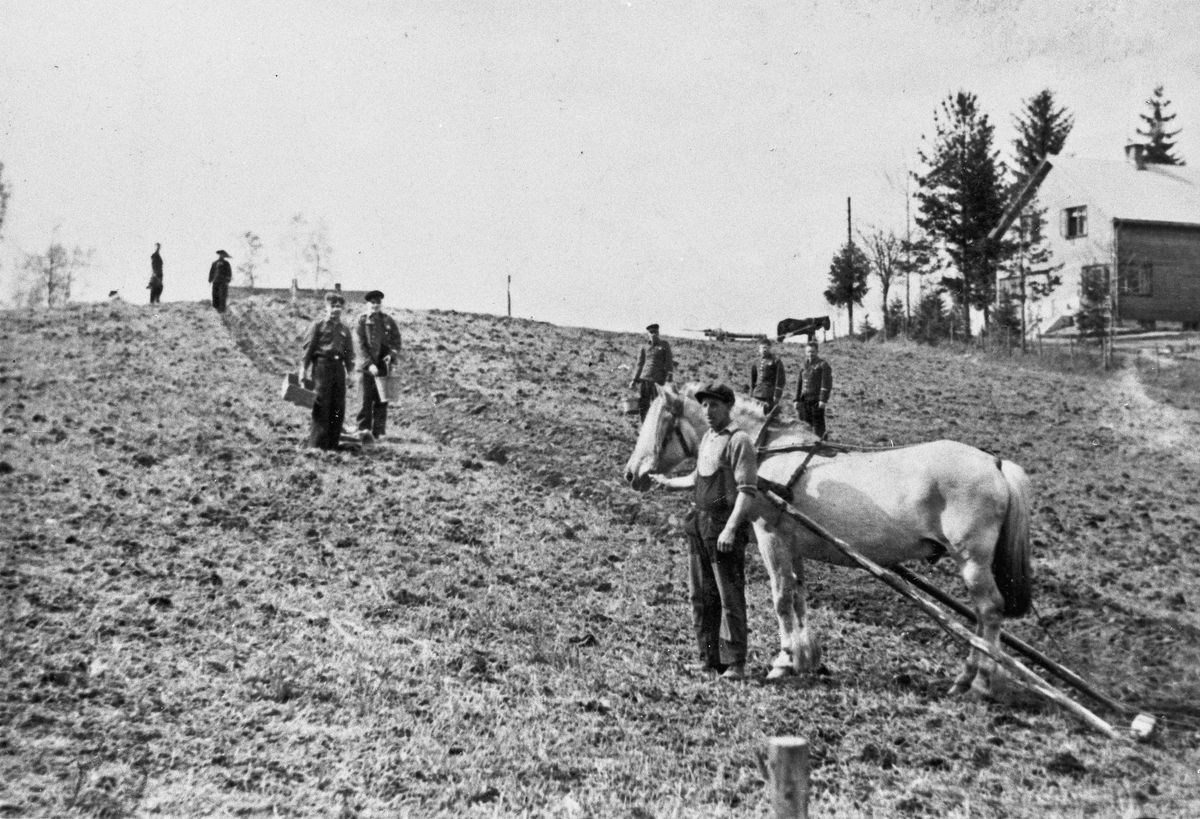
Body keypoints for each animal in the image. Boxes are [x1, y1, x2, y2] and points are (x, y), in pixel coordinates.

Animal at [628, 381, 1032, 696]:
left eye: (659, 421)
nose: (632, 474)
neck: (767, 452)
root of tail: (995, 463)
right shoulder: (793, 544)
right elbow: (798, 596)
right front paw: (808, 658)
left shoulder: (770, 535)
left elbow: (781, 598)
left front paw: (784, 661)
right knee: (979, 619)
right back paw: (965, 678)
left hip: (972, 560)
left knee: (989, 612)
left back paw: (980, 683)